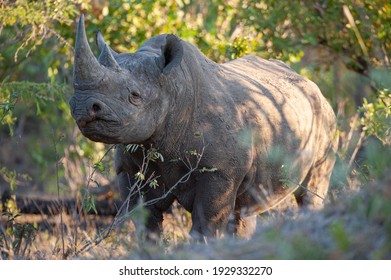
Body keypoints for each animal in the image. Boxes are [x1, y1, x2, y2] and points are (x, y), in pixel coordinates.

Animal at [70, 15, 340, 238]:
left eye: (134, 96)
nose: (83, 106)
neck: (172, 88)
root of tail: (312, 84)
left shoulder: (220, 171)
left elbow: (206, 225)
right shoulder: (130, 168)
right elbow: (145, 223)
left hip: (326, 120)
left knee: (311, 190)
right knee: (244, 209)